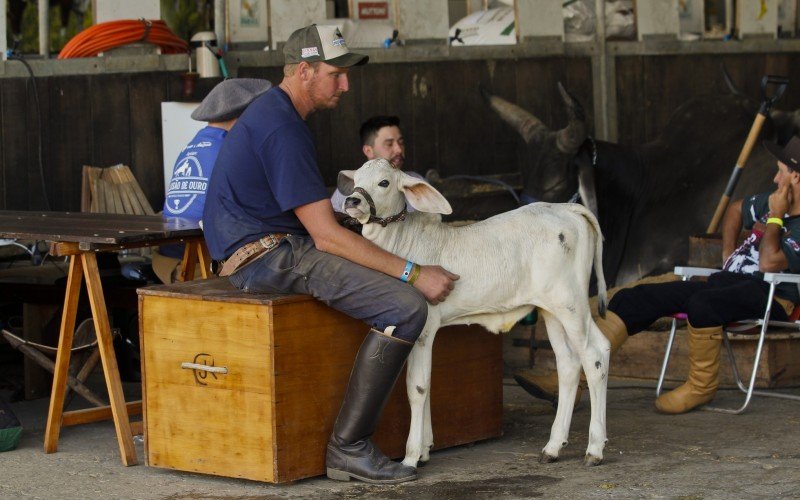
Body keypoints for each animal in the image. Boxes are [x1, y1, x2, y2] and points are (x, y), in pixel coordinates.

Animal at [340, 160, 608, 468]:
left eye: (384, 182)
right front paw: (426, 449)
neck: (403, 244)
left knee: (595, 355)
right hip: (552, 309)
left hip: (571, 303)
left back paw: (595, 449)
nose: (352, 201)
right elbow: (428, 385)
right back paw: (553, 447)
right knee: (569, 363)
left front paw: (411, 456)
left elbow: (417, 387)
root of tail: (567, 208)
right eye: (356, 179)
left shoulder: (425, 328)